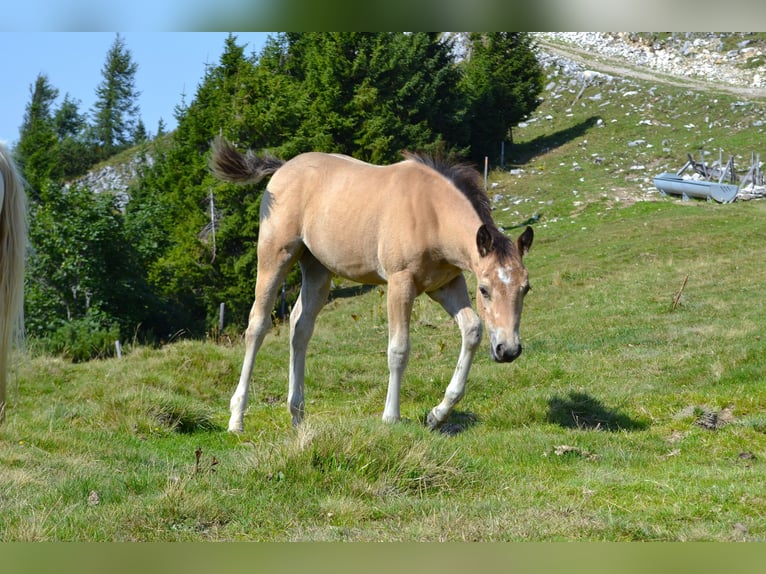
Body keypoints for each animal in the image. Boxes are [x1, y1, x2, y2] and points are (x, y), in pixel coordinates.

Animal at [210, 137, 533, 432]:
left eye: (525, 288)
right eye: (484, 289)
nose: (508, 350)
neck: (431, 213)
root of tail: (283, 167)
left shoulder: (445, 285)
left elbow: (473, 330)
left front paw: (437, 414)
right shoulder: (400, 283)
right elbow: (398, 349)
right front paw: (391, 416)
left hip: (317, 269)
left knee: (300, 327)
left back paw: (297, 416)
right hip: (275, 256)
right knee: (257, 325)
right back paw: (236, 419)